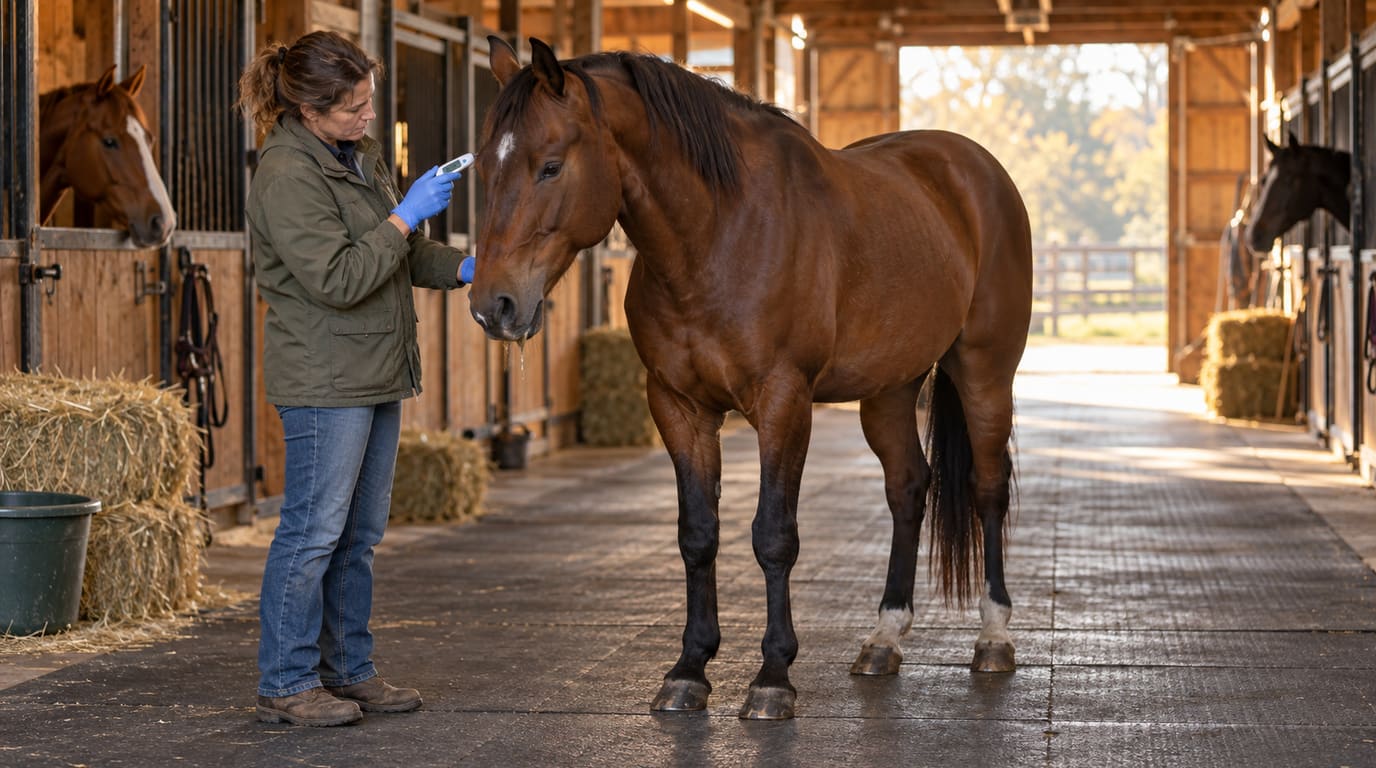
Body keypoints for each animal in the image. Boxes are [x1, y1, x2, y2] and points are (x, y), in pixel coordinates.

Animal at [470, 36, 1033, 720]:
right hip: (889, 390)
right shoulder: (678, 406)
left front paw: (772, 676)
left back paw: (994, 636)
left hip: (985, 372)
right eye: (483, 169)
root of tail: (975, 169)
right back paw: (883, 638)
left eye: (550, 167)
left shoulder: (783, 401)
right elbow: (697, 534)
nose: (493, 305)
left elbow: (773, 535)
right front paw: (689, 669)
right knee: (908, 487)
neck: (718, 235)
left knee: (987, 487)